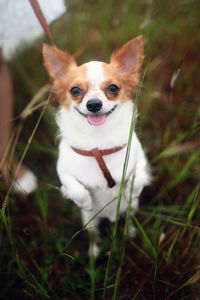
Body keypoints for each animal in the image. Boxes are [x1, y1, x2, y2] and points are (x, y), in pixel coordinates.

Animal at [43, 35, 151, 255]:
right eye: (75, 90)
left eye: (113, 88)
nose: (93, 104)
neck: (98, 142)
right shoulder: (63, 169)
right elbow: (75, 187)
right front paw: (84, 201)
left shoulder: (139, 156)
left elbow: (138, 176)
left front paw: (130, 190)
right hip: (89, 222)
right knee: (93, 235)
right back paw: (94, 252)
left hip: (131, 210)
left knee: (129, 218)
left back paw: (130, 232)